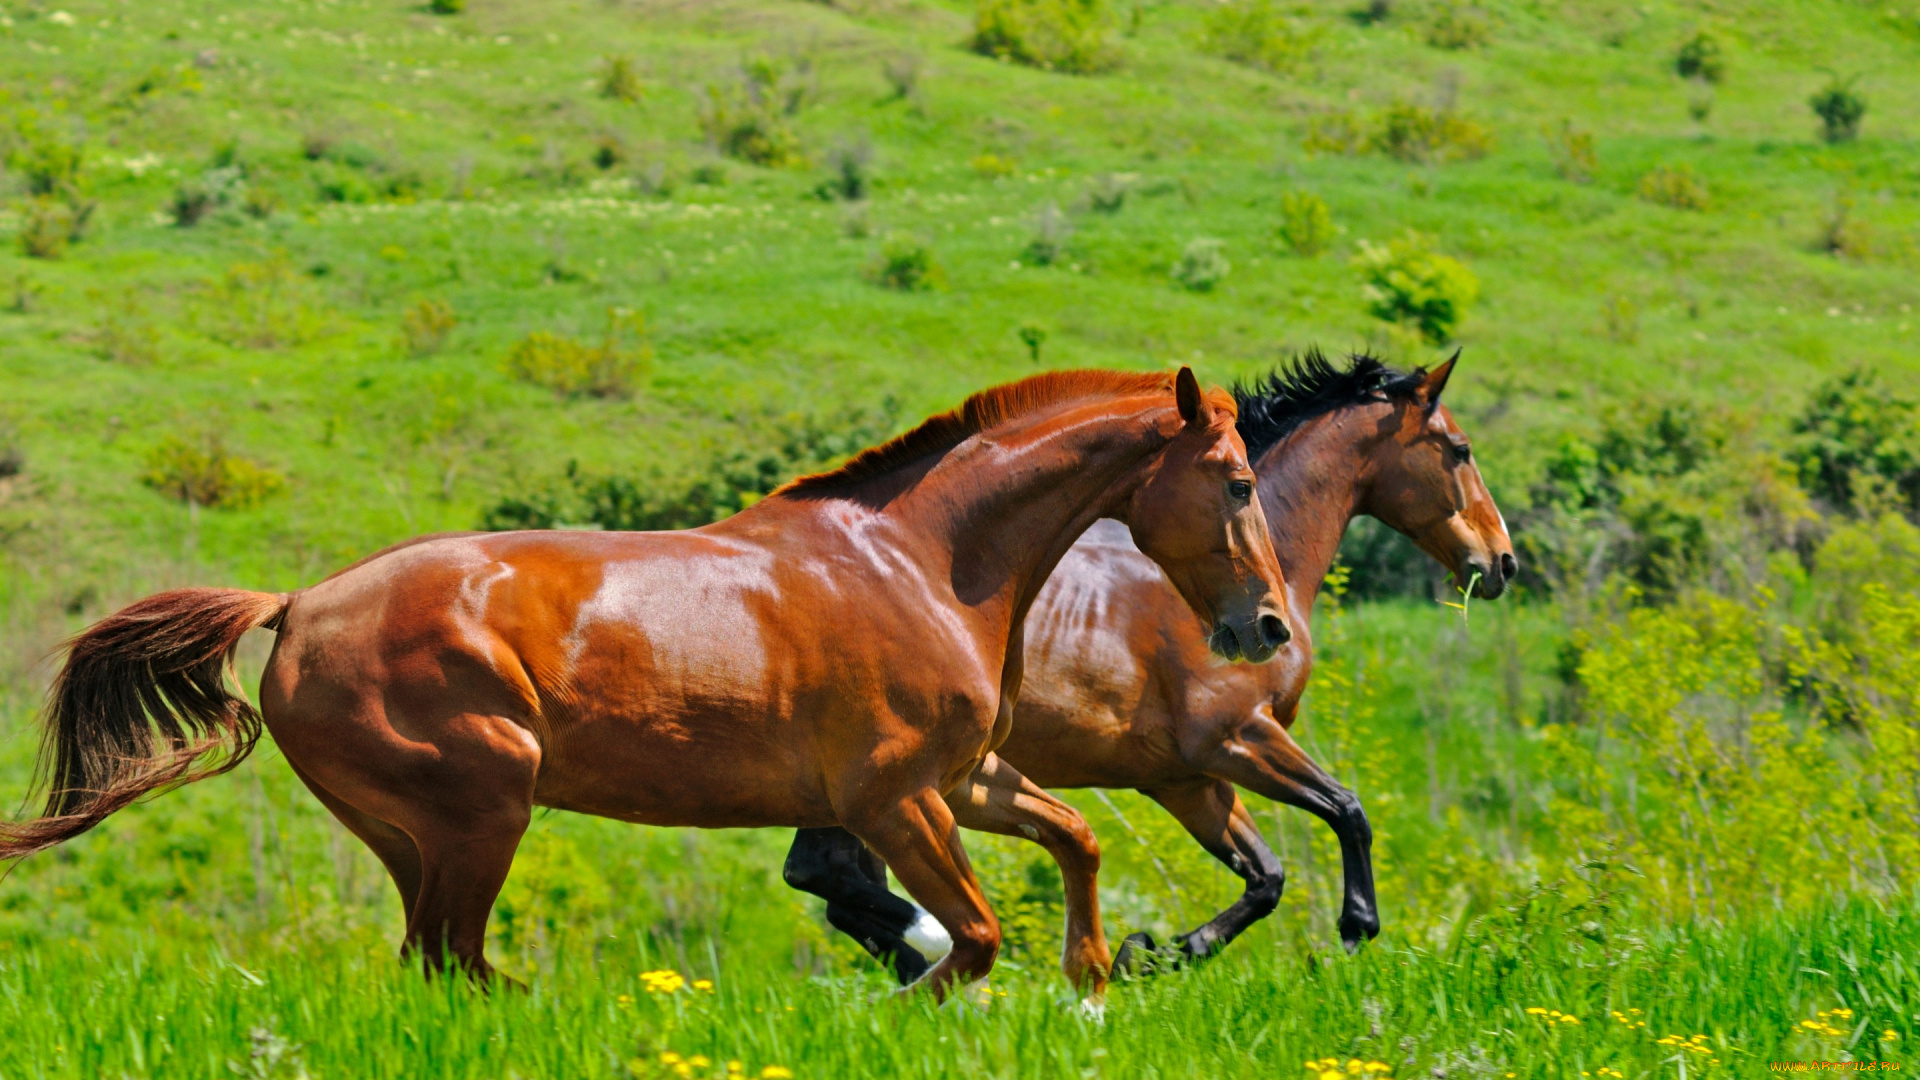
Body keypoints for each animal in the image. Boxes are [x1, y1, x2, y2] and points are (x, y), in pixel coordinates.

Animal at [3, 365, 1290, 999]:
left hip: (415, 836)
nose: (1268, 625)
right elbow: (967, 940)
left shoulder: (965, 782)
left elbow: (1076, 840)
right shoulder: (893, 801)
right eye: (1235, 481)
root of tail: (298, 604)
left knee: (436, 966)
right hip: (484, 809)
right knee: (457, 965)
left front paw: (1094, 985)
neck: (921, 563)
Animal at [779, 351, 1512, 976]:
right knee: (826, 876)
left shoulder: (1184, 779)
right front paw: (1354, 928)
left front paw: (1151, 954)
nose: (1502, 562)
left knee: (830, 883)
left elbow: (1266, 877)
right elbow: (1346, 810)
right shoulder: (1236, 738)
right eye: (1460, 450)